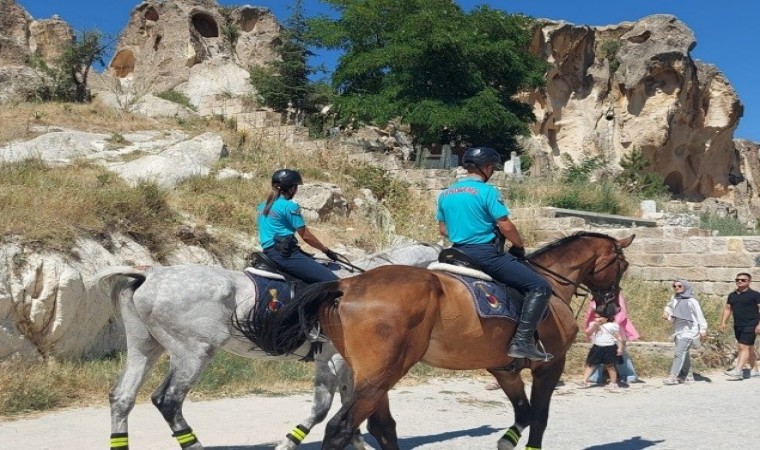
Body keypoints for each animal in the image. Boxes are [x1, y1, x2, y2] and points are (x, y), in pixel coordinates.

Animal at [95, 243, 442, 450]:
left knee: (122, 398)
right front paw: (289, 443)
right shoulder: (335, 361)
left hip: (145, 348)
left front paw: (355, 442)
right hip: (193, 353)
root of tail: (149, 273)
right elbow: (325, 408)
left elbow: (346, 404)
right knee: (168, 401)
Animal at [239, 232, 636, 450]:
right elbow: (539, 417)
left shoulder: (504, 369)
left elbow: (523, 413)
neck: (550, 286)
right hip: (381, 375)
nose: (612, 307)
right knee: (343, 428)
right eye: (624, 265)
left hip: (374, 375)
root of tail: (345, 285)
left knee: (381, 427)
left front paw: (506, 440)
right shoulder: (550, 365)